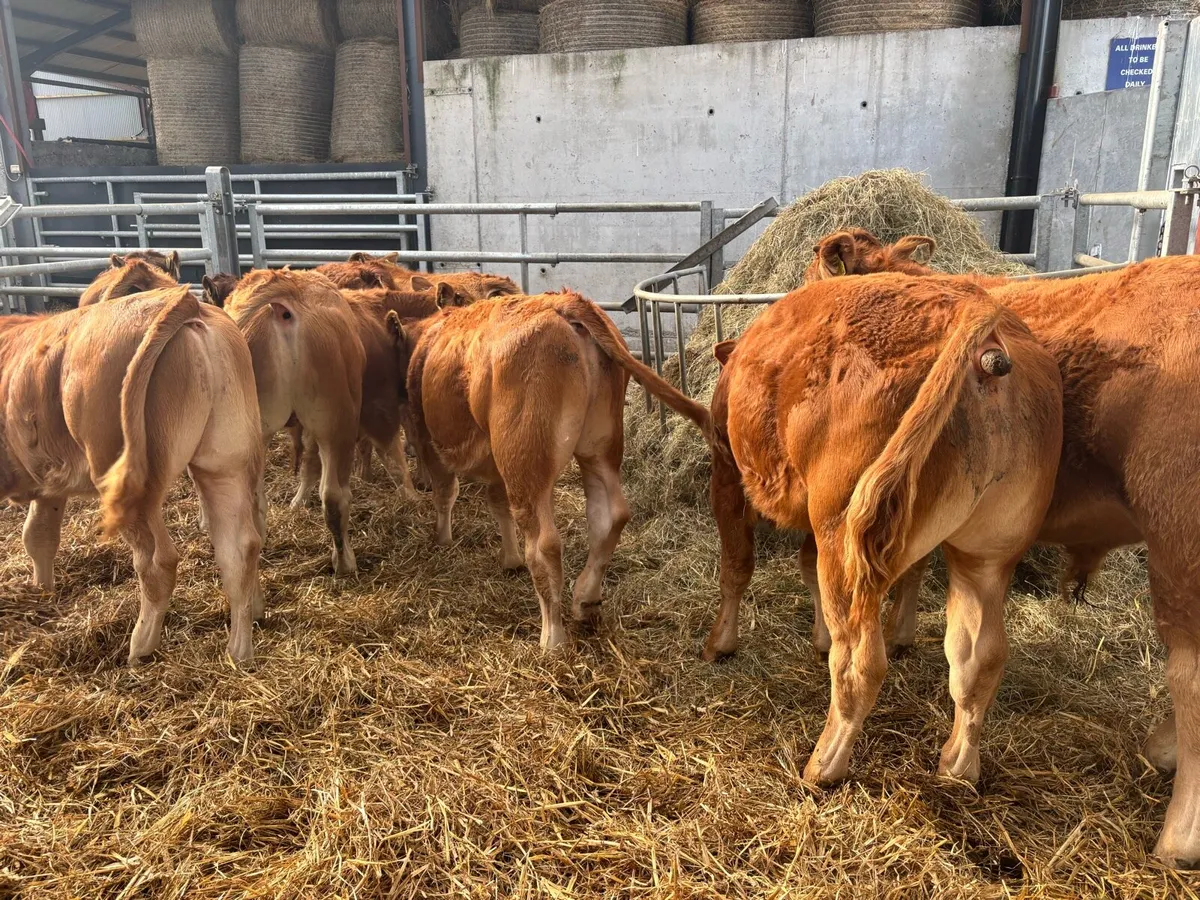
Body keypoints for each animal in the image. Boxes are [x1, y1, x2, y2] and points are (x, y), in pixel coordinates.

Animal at [0, 287, 264, 664]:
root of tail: (186, 302)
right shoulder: (49, 486)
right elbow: (38, 536)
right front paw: (42, 589)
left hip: (130, 482)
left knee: (158, 561)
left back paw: (139, 646)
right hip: (225, 462)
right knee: (239, 547)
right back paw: (239, 652)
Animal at [388, 290, 712, 649]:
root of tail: (564, 302)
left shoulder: (429, 439)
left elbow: (446, 492)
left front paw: (443, 538)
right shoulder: (495, 462)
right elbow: (497, 503)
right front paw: (509, 558)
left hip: (526, 461)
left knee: (545, 544)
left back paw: (552, 637)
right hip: (597, 446)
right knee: (609, 517)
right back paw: (585, 600)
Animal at [705, 273, 1061, 811]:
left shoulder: (727, 470)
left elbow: (736, 565)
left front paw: (720, 644)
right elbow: (804, 567)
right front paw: (816, 637)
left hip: (846, 537)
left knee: (861, 663)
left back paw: (824, 765)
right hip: (985, 554)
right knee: (979, 659)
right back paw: (958, 766)